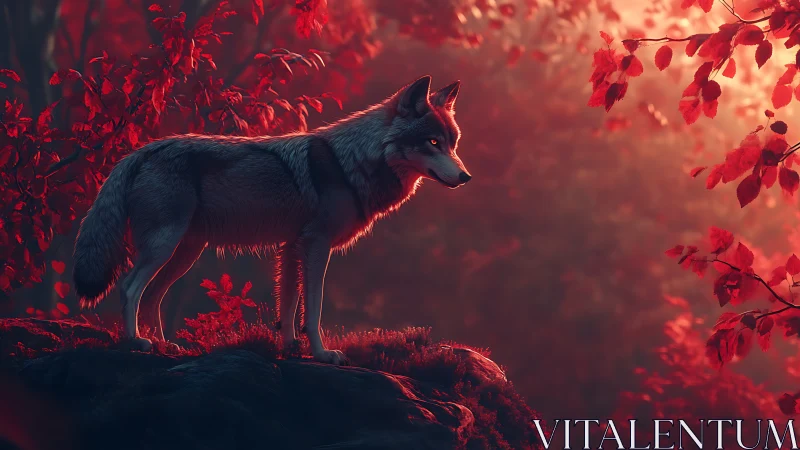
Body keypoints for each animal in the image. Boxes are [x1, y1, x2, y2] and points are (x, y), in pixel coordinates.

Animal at [72, 75, 470, 364]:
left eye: (452, 143)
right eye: (432, 142)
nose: (466, 177)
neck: (352, 163)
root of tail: (142, 150)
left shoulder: (292, 246)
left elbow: (289, 305)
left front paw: (291, 347)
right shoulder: (316, 245)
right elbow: (313, 307)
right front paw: (322, 354)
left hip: (184, 253)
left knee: (152, 295)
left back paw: (166, 346)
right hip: (164, 247)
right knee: (129, 288)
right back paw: (136, 343)